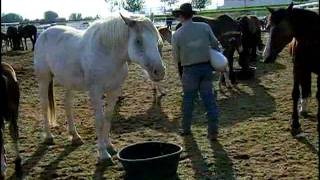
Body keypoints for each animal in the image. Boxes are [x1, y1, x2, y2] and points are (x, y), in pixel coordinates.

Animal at [34, 13, 165, 163]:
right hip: (44, 79)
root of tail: (44, 33)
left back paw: (75, 136)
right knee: (44, 106)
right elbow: (99, 120)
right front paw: (103, 153)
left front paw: (109, 146)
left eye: (157, 40)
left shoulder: (114, 91)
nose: (160, 72)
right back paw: (49, 137)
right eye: (138, 41)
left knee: (67, 105)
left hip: (69, 83)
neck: (106, 53)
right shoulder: (96, 92)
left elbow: (108, 118)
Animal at [264, 2, 318, 136]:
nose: (266, 56)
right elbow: (295, 93)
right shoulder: (297, 67)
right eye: (267, 27)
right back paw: (303, 107)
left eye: (282, 27)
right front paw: (295, 125)